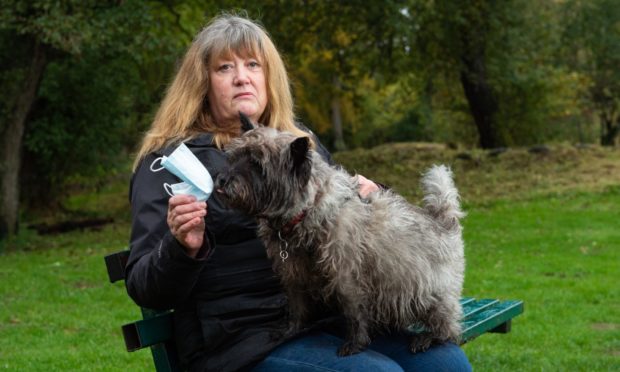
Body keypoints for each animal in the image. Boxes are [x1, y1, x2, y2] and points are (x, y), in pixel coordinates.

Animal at [216, 117, 462, 356]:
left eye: (258, 165)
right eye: (234, 157)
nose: (221, 180)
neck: (308, 211)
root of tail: (442, 220)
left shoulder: (346, 277)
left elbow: (354, 312)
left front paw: (355, 343)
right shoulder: (293, 275)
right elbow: (296, 307)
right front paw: (290, 331)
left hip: (427, 295)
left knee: (449, 327)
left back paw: (429, 337)